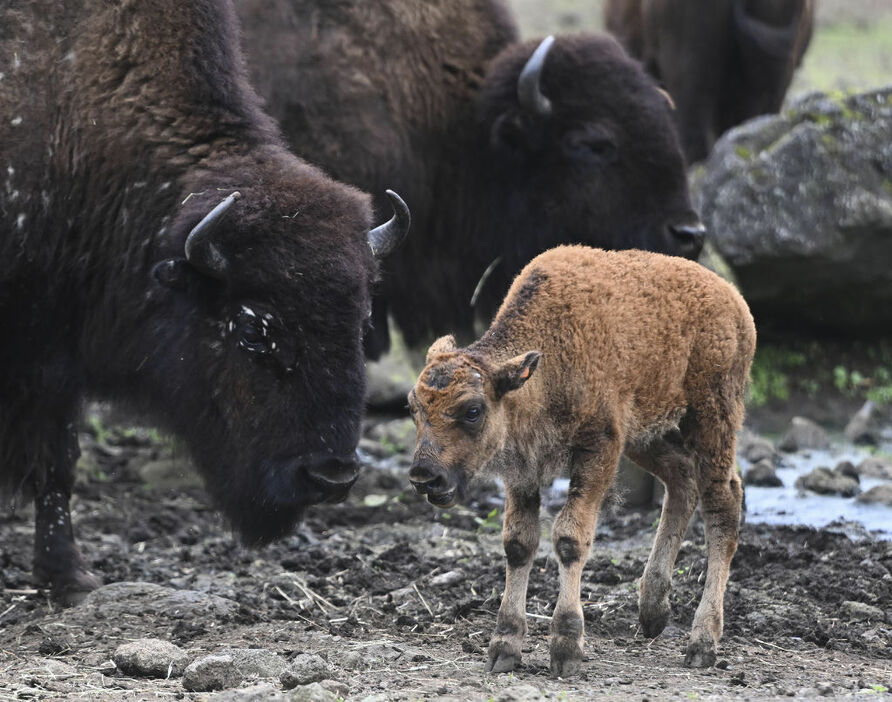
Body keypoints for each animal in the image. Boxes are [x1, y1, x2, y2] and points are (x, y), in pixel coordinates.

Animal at [0, 0, 410, 604]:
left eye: (359, 323)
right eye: (253, 329)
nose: (329, 476)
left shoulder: (56, 356)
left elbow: (58, 464)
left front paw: (68, 577)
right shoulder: (38, 355)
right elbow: (53, 460)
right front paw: (68, 577)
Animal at [410, 246, 752, 676]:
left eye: (473, 410)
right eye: (412, 408)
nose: (425, 477)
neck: (548, 360)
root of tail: (735, 301)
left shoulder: (598, 449)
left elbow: (570, 538)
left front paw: (566, 647)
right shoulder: (524, 468)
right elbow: (518, 543)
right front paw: (504, 646)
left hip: (711, 420)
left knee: (723, 503)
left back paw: (701, 643)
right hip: (647, 435)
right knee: (682, 481)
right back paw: (652, 612)